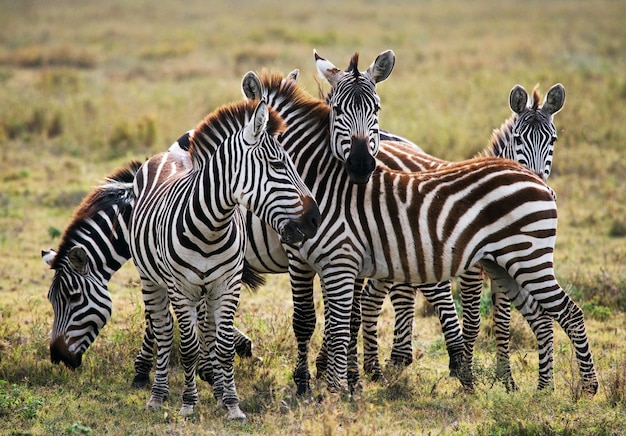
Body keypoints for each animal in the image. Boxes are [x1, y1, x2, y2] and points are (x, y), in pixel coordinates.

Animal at [129, 100, 320, 420]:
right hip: (151, 280)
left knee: (205, 331)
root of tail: (167, 154)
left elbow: (224, 347)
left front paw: (231, 404)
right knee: (164, 332)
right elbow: (189, 348)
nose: (315, 220)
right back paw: (157, 395)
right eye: (278, 165)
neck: (211, 227)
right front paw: (188, 404)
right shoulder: (181, 289)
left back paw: (216, 392)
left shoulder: (228, 285)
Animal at [356, 83, 564, 390]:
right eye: (517, 138)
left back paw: (380, 366)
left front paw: (507, 380)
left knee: (373, 297)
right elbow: (473, 320)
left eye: (553, 139)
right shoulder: (472, 269)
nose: (538, 181)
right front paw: (467, 373)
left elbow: (502, 319)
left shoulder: (500, 263)